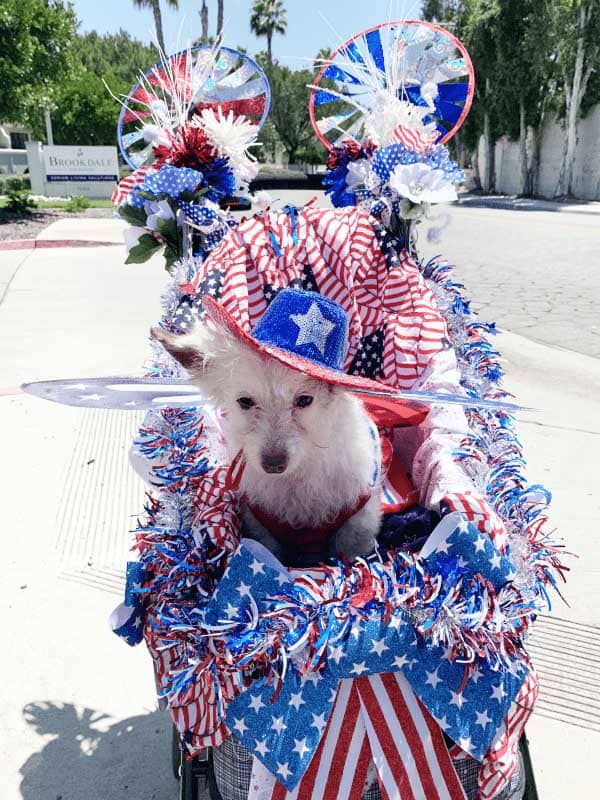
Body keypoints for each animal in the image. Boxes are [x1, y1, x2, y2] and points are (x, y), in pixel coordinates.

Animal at [152, 318, 382, 564]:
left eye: (304, 400)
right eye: (244, 401)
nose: (273, 464)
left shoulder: (357, 525)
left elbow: (350, 554)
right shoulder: (261, 528)